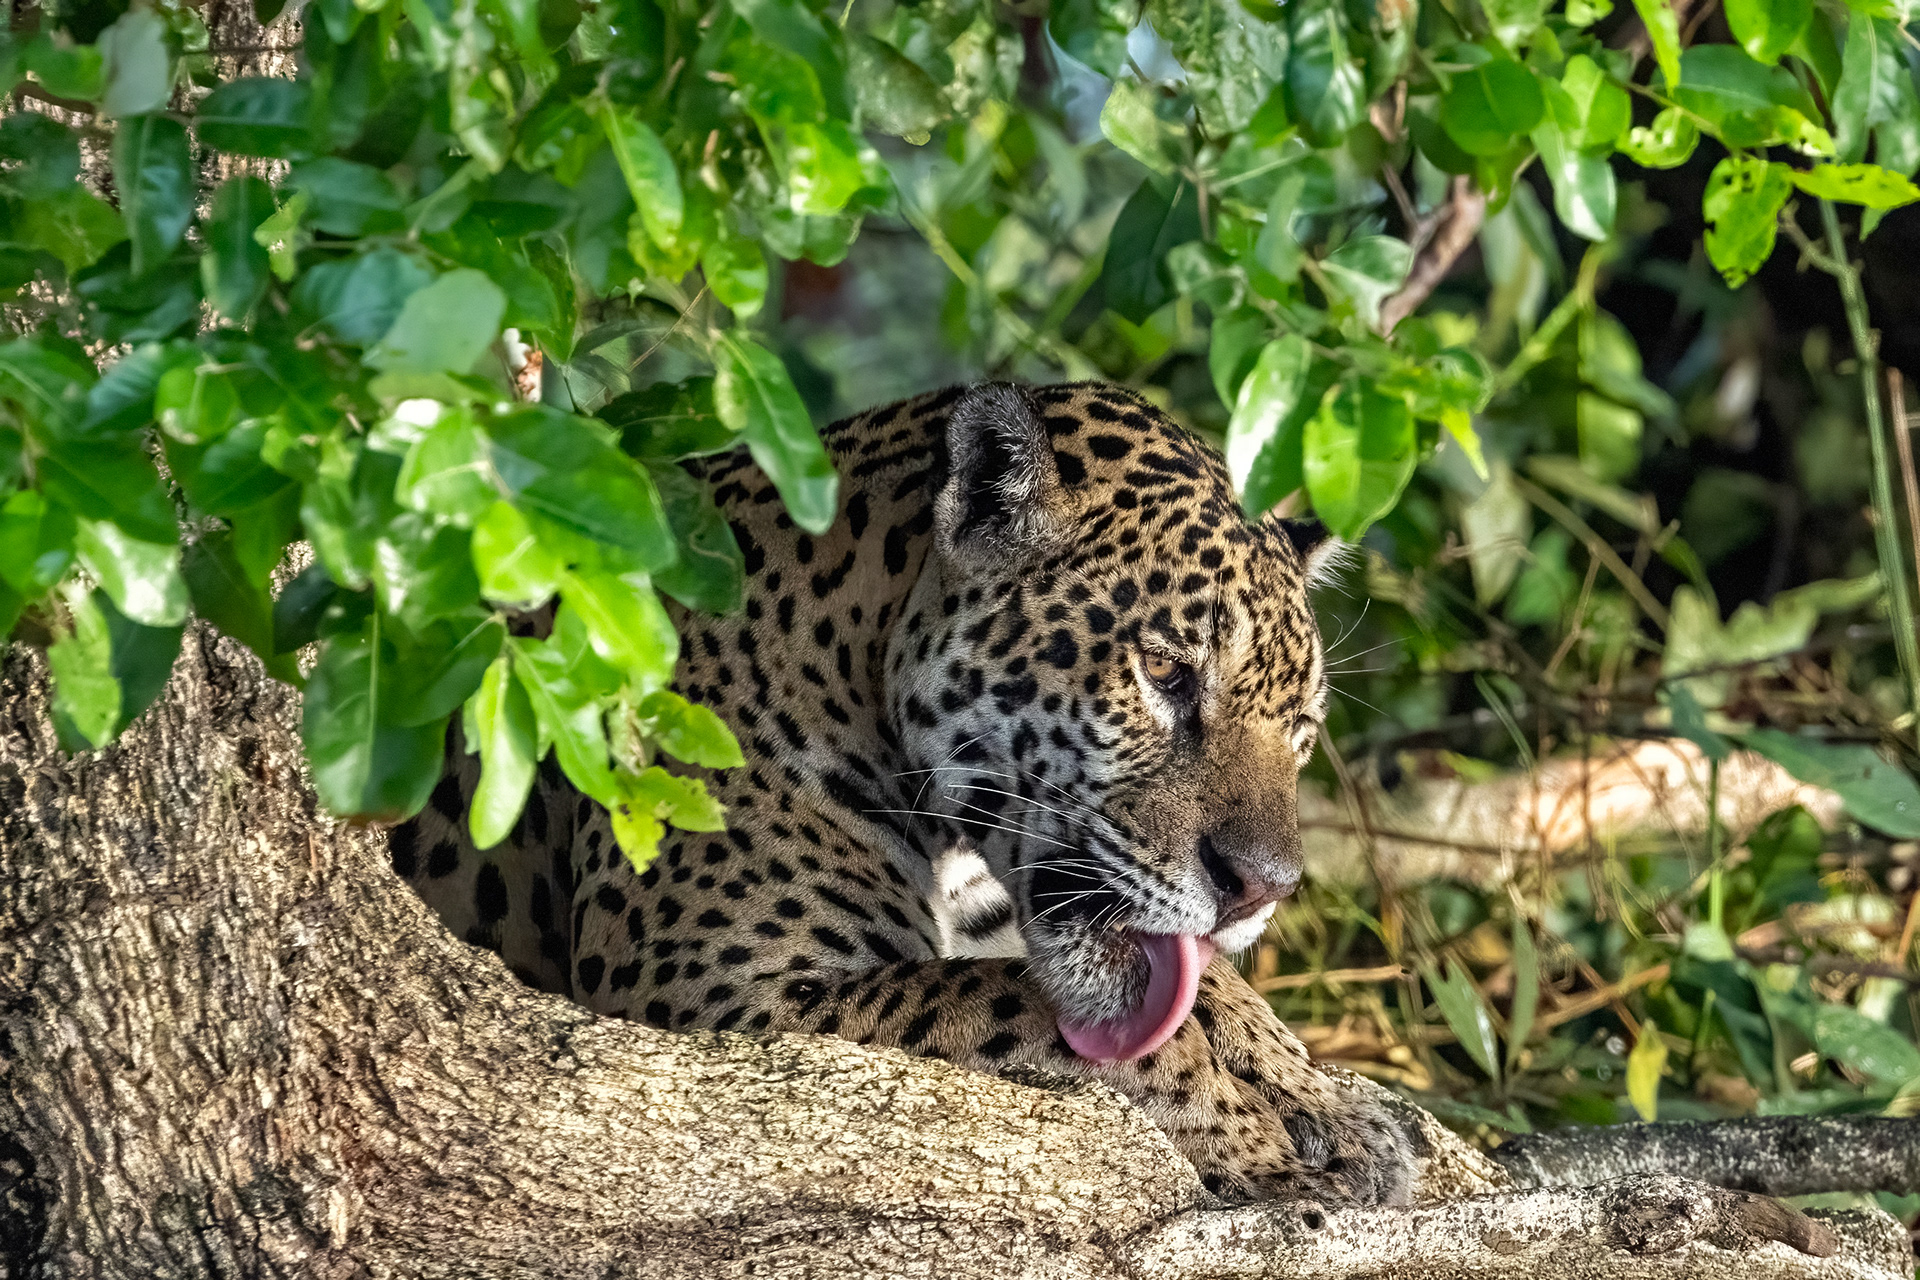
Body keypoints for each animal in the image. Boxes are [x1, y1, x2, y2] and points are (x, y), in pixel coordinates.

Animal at [394, 379, 1413, 1205]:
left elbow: (1207, 991)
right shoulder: (710, 1002)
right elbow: (1013, 1000)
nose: (1261, 891)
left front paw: (1334, 1110)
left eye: (1302, 730)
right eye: (1164, 673)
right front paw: (1263, 1152)